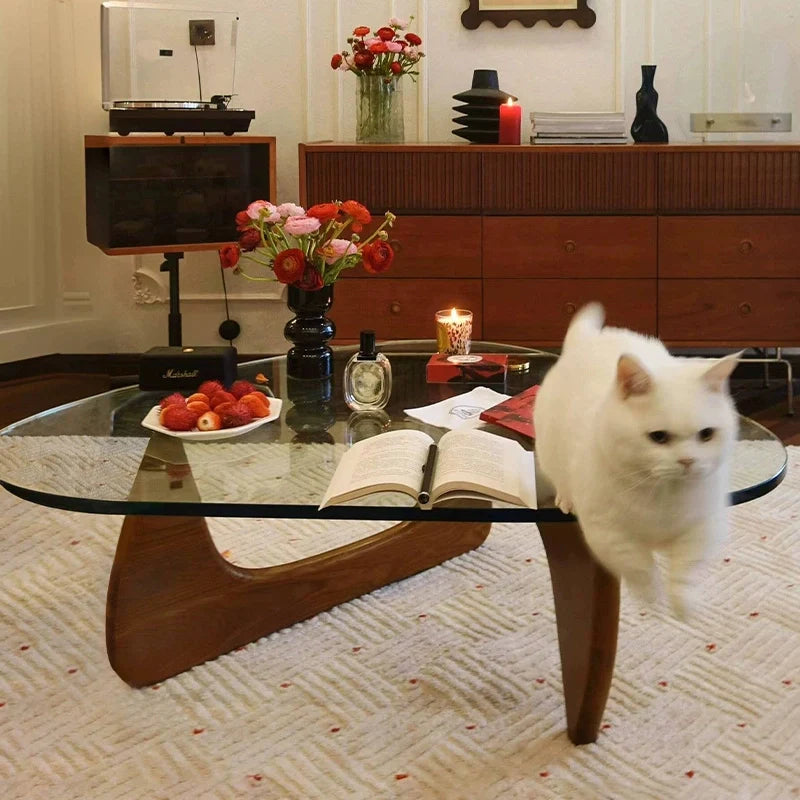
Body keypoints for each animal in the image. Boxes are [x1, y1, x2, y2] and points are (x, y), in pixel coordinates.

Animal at [536, 302, 740, 620]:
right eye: (658, 437)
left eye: (706, 434)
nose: (687, 460)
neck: (662, 500)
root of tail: (592, 338)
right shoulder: (606, 530)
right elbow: (636, 563)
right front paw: (650, 596)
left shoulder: (705, 525)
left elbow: (685, 568)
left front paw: (682, 605)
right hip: (551, 450)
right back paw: (566, 499)